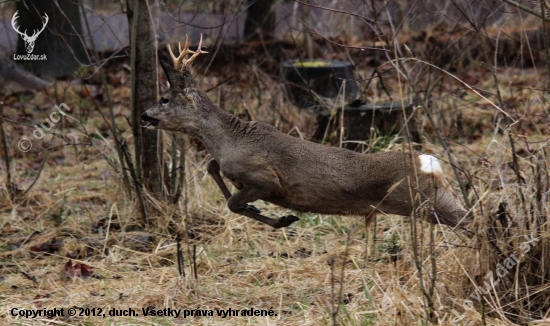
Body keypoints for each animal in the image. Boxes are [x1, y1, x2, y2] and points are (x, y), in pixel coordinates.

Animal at [140, 35, 472, 229]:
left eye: (164, 98)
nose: (143, 116)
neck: (228, 141)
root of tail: (429, 163)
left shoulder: (265, 179)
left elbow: (232, 203)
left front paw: (283, 218)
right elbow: (213, 169)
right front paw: (274, 214)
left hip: (421, 201)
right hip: (437, 197)